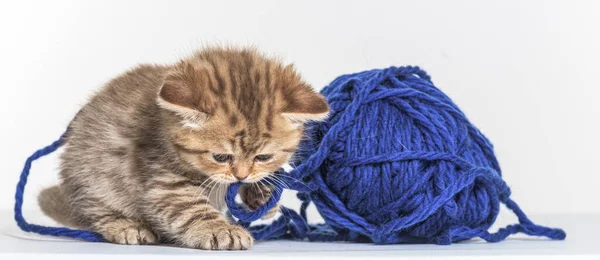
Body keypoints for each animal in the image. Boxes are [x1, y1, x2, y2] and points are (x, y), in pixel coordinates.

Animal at [38, 47, 328, 250]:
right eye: (220, 157)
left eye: (263, 156)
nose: (241, 175)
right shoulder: (162, 180)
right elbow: (189, 207)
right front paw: (222, 230)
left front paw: (263, 196)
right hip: (94, 178)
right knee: (95, 210)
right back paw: (127, 226)